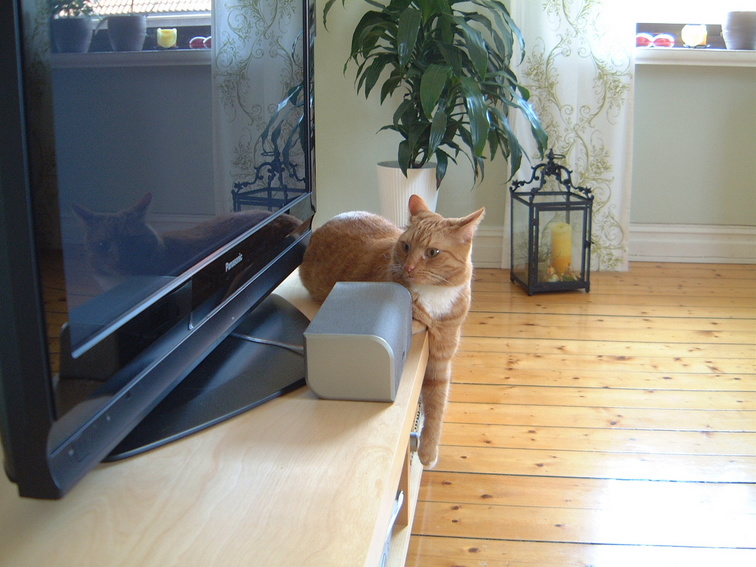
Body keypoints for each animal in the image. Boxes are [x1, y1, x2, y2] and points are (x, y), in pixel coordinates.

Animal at [299, 194, 484, 467]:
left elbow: (437, 405)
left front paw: (428, 451)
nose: (408, 268)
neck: (435, 294)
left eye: (432, 252)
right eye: (406, 246)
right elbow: (418, 319)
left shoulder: (441, 360)